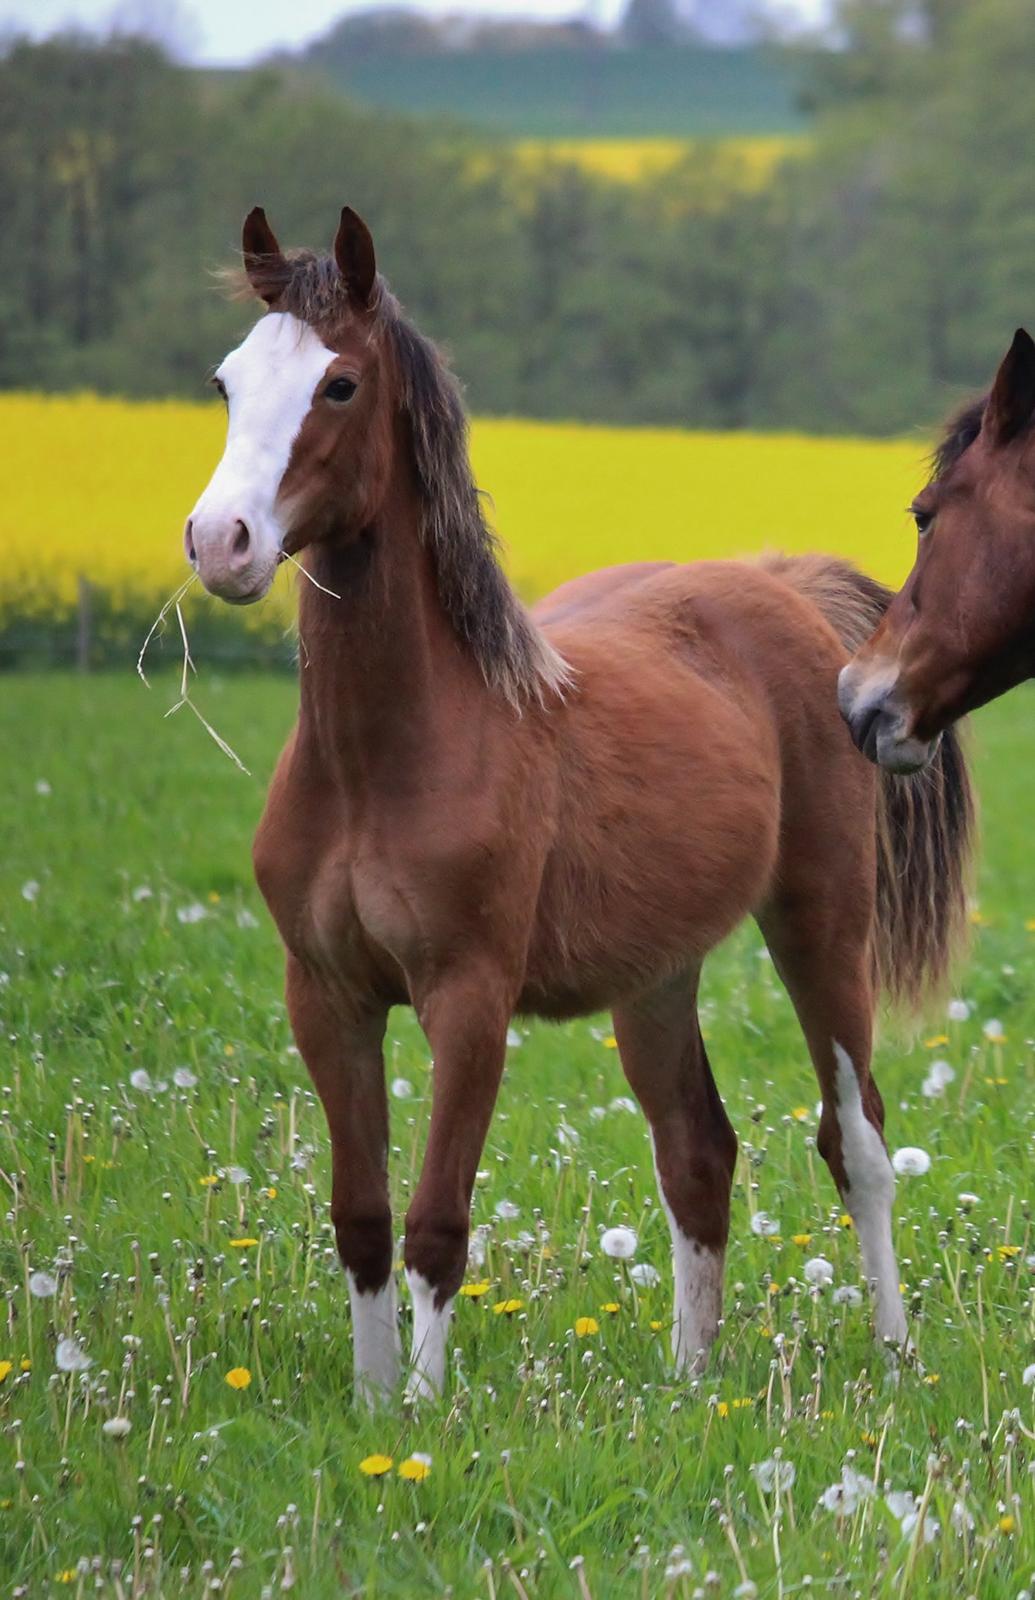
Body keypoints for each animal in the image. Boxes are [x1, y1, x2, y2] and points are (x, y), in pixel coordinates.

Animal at [183, 209, 972, 1401]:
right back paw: (691, 1380)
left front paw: (421, 1412)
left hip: (822, 926)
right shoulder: (326, 996)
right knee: (697, 1149)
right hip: (654, 977)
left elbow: (436, 1222)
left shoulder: (468, 999)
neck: (384, 761)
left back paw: (892, 1354)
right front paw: (367, 1408)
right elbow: (361, 1218)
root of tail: (783, 588)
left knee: (860, 1140)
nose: (220, 541)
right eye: (229, 381)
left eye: (341, 385)